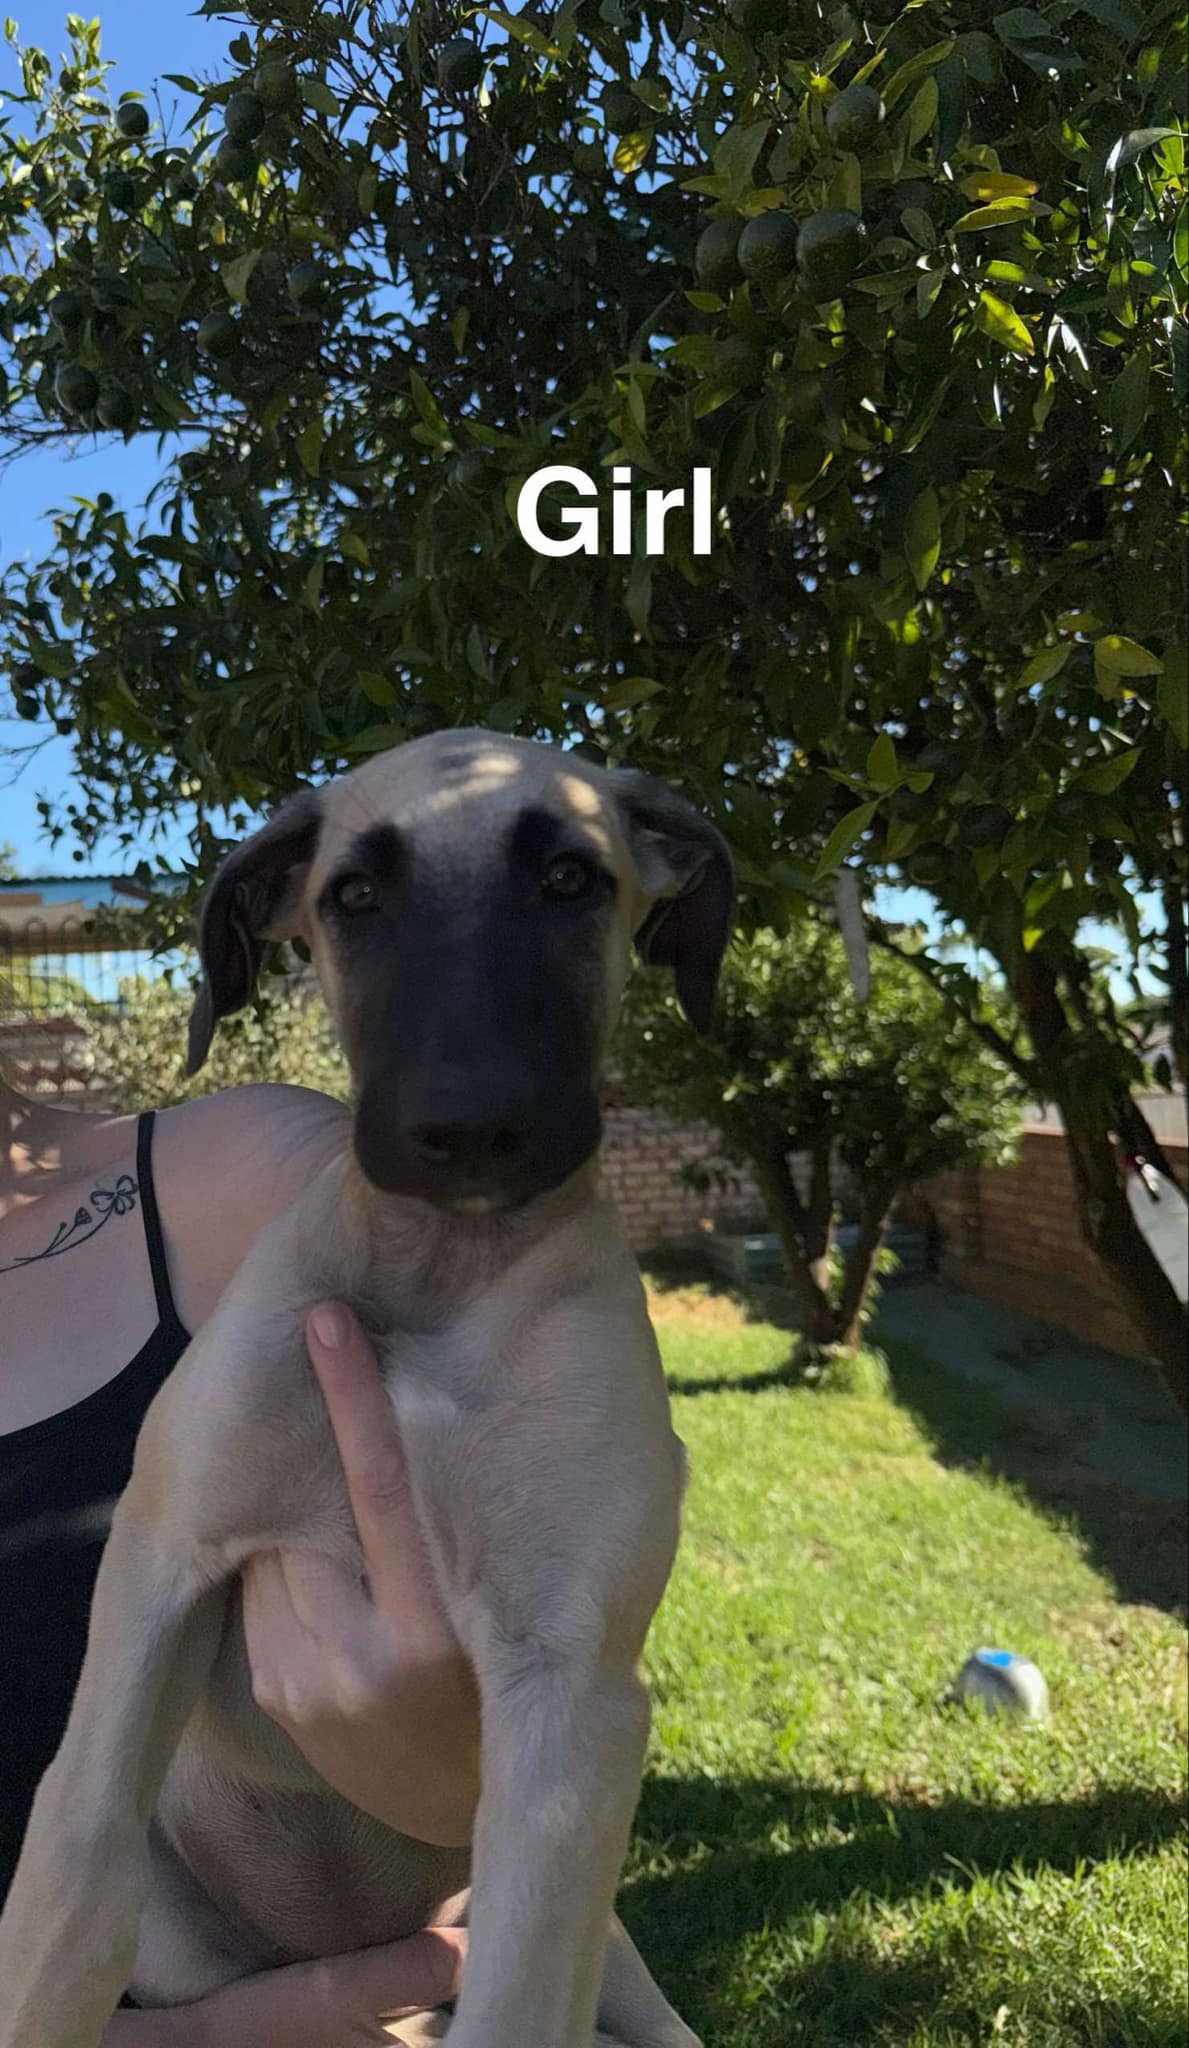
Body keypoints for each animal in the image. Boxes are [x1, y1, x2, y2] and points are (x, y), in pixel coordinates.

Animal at [0, 729, 733, 2048]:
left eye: (570, 880)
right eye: (353, 897)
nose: (471, 1123)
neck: (437, 1278)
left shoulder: (572, 1698)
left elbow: (516, 2001)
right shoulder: (160, 1559)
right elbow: (76, 1874)